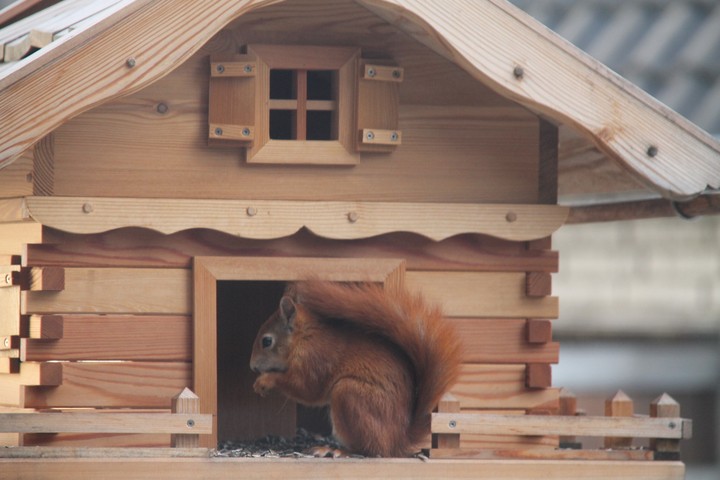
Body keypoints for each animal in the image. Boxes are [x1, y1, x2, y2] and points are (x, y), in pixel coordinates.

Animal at [249, 280, 463, 457]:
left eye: (266, 341)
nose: (252, 366)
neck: (304, 337)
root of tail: (399, 440)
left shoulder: (316, 359)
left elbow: (307, 389)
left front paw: (264, 381)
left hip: (349, 395)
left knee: (372, 450)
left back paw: (335, 450)